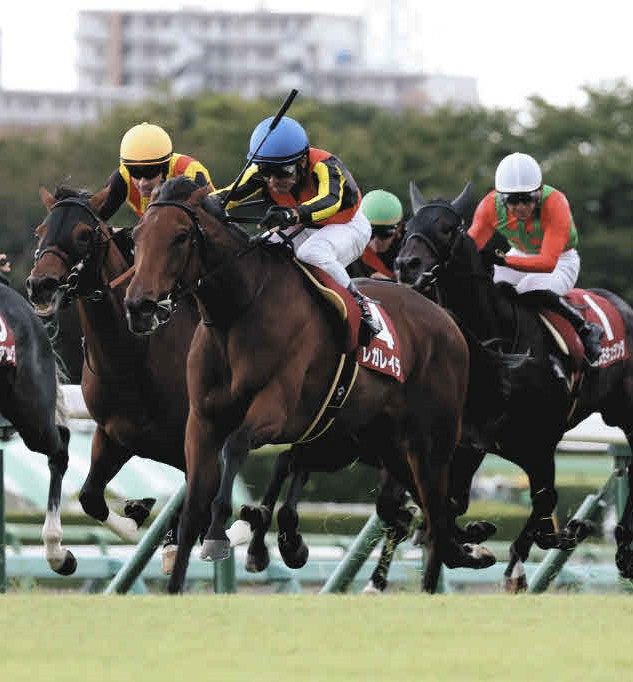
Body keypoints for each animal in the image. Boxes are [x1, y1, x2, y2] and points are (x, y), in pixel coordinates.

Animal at [123, 176, 493, 594]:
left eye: (181, 236)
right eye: (136, 236)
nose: (138, 306)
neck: (240, 311)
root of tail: (447, 320)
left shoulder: (278, 411)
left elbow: (236, 446)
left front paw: (220, 533)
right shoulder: (202, 421)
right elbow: (193, 508)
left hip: (431, 441)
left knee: (437, 509)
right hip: (379, 442)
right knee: (431, 515)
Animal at [395, 182, 633, 587]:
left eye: (448, 228)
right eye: (410, 224)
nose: (406, 264)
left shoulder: (540, 443)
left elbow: (544, 505)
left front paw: (522, 562)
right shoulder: (471, 442)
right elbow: (451, 504)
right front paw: (473, 540)